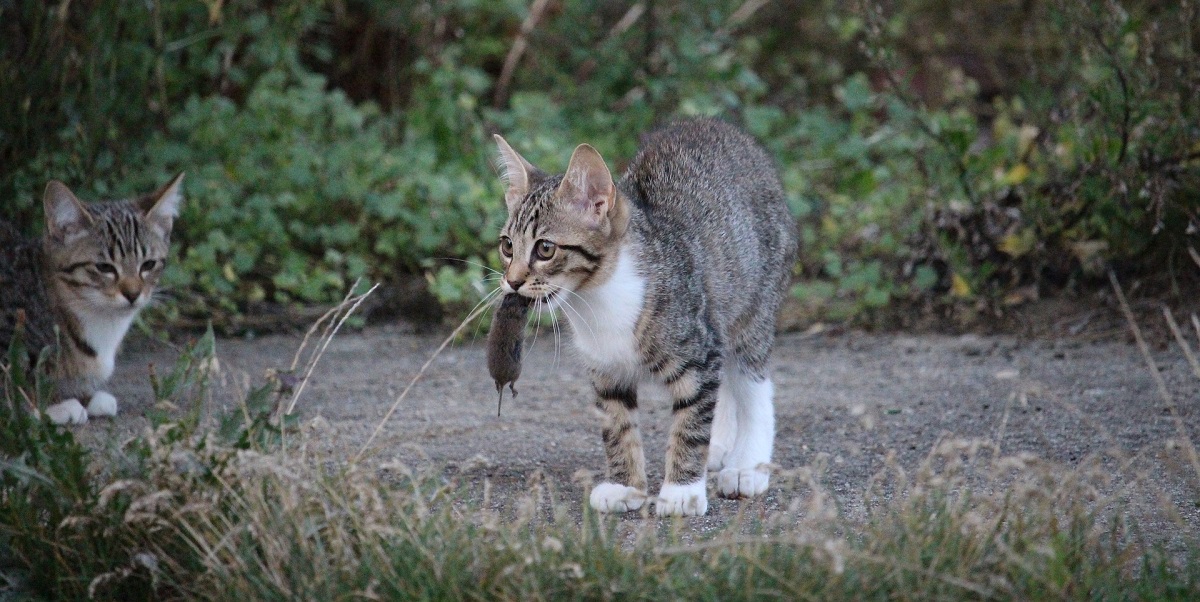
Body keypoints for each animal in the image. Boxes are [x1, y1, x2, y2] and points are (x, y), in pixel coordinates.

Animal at [494, 119, 796, 515]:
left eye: (545, 249)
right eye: (507, 246)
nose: (512, 281)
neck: (596, 297)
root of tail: (717, 124)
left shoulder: (699, 351)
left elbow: (690, 424)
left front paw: (682, 491)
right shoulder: (606, 369)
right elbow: (617, 425)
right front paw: (624, 486)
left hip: (753, 306)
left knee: (752, 382)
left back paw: (747, 465)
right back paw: (720, 447)